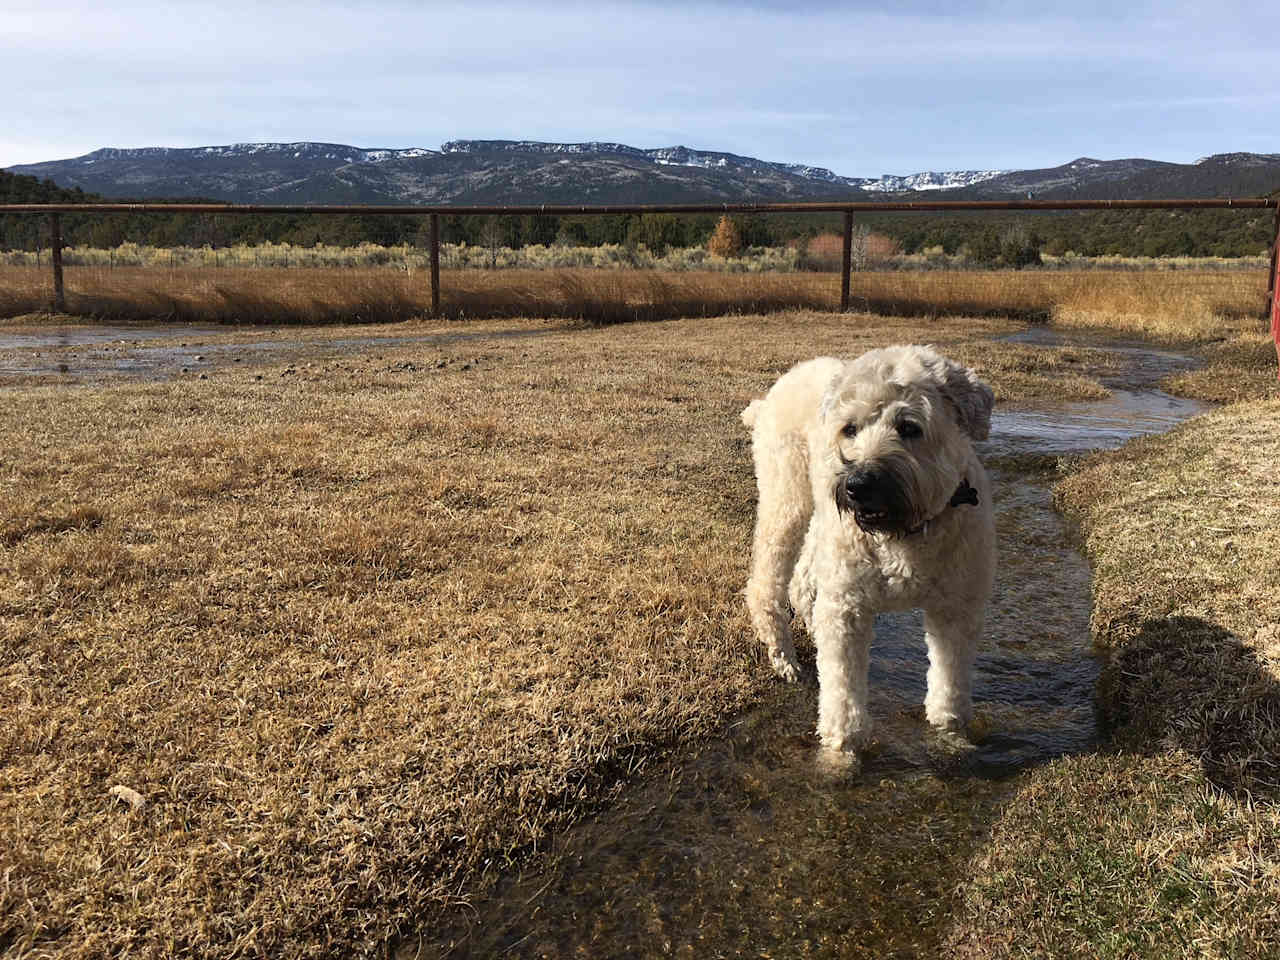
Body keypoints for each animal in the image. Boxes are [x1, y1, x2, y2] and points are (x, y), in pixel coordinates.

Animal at [742, 345, 998, 752]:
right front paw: (841, 747)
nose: (858, 485)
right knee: (766, 586)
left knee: (802, 581)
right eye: (850, 428)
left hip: (821, 527)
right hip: (787, 502)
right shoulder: (847, 608)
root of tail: (773, 394)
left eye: (909, 427)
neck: (904, 533)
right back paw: (784, 659)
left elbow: (950, 686)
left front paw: (950, 735)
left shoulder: (956, 608)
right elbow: (842, 692)